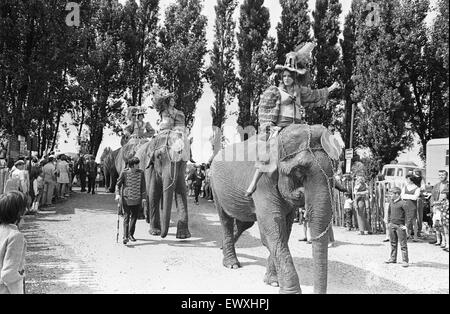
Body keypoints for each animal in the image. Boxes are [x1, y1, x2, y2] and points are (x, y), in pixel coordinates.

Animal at [211, 123, 342, 294]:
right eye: (298, 171)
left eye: (333, 171)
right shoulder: (262, 182)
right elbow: (272, 230)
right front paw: (288, 291)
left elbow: (284, 230)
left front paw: (273, 282)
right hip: (214, 186)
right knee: (226, 219)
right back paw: (231, 264)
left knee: (244, 222)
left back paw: (223, 247)